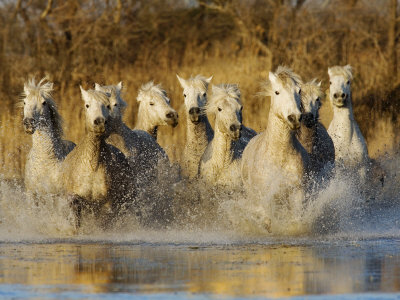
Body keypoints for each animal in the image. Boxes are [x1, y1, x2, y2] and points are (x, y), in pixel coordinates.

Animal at [241, 65, 310, 230]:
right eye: (277, 92)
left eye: (298, 91)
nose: (294, 118)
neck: (280, 155)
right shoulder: (266, 198)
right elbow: (268, 223)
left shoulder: (297, 194)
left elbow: (295, 221)